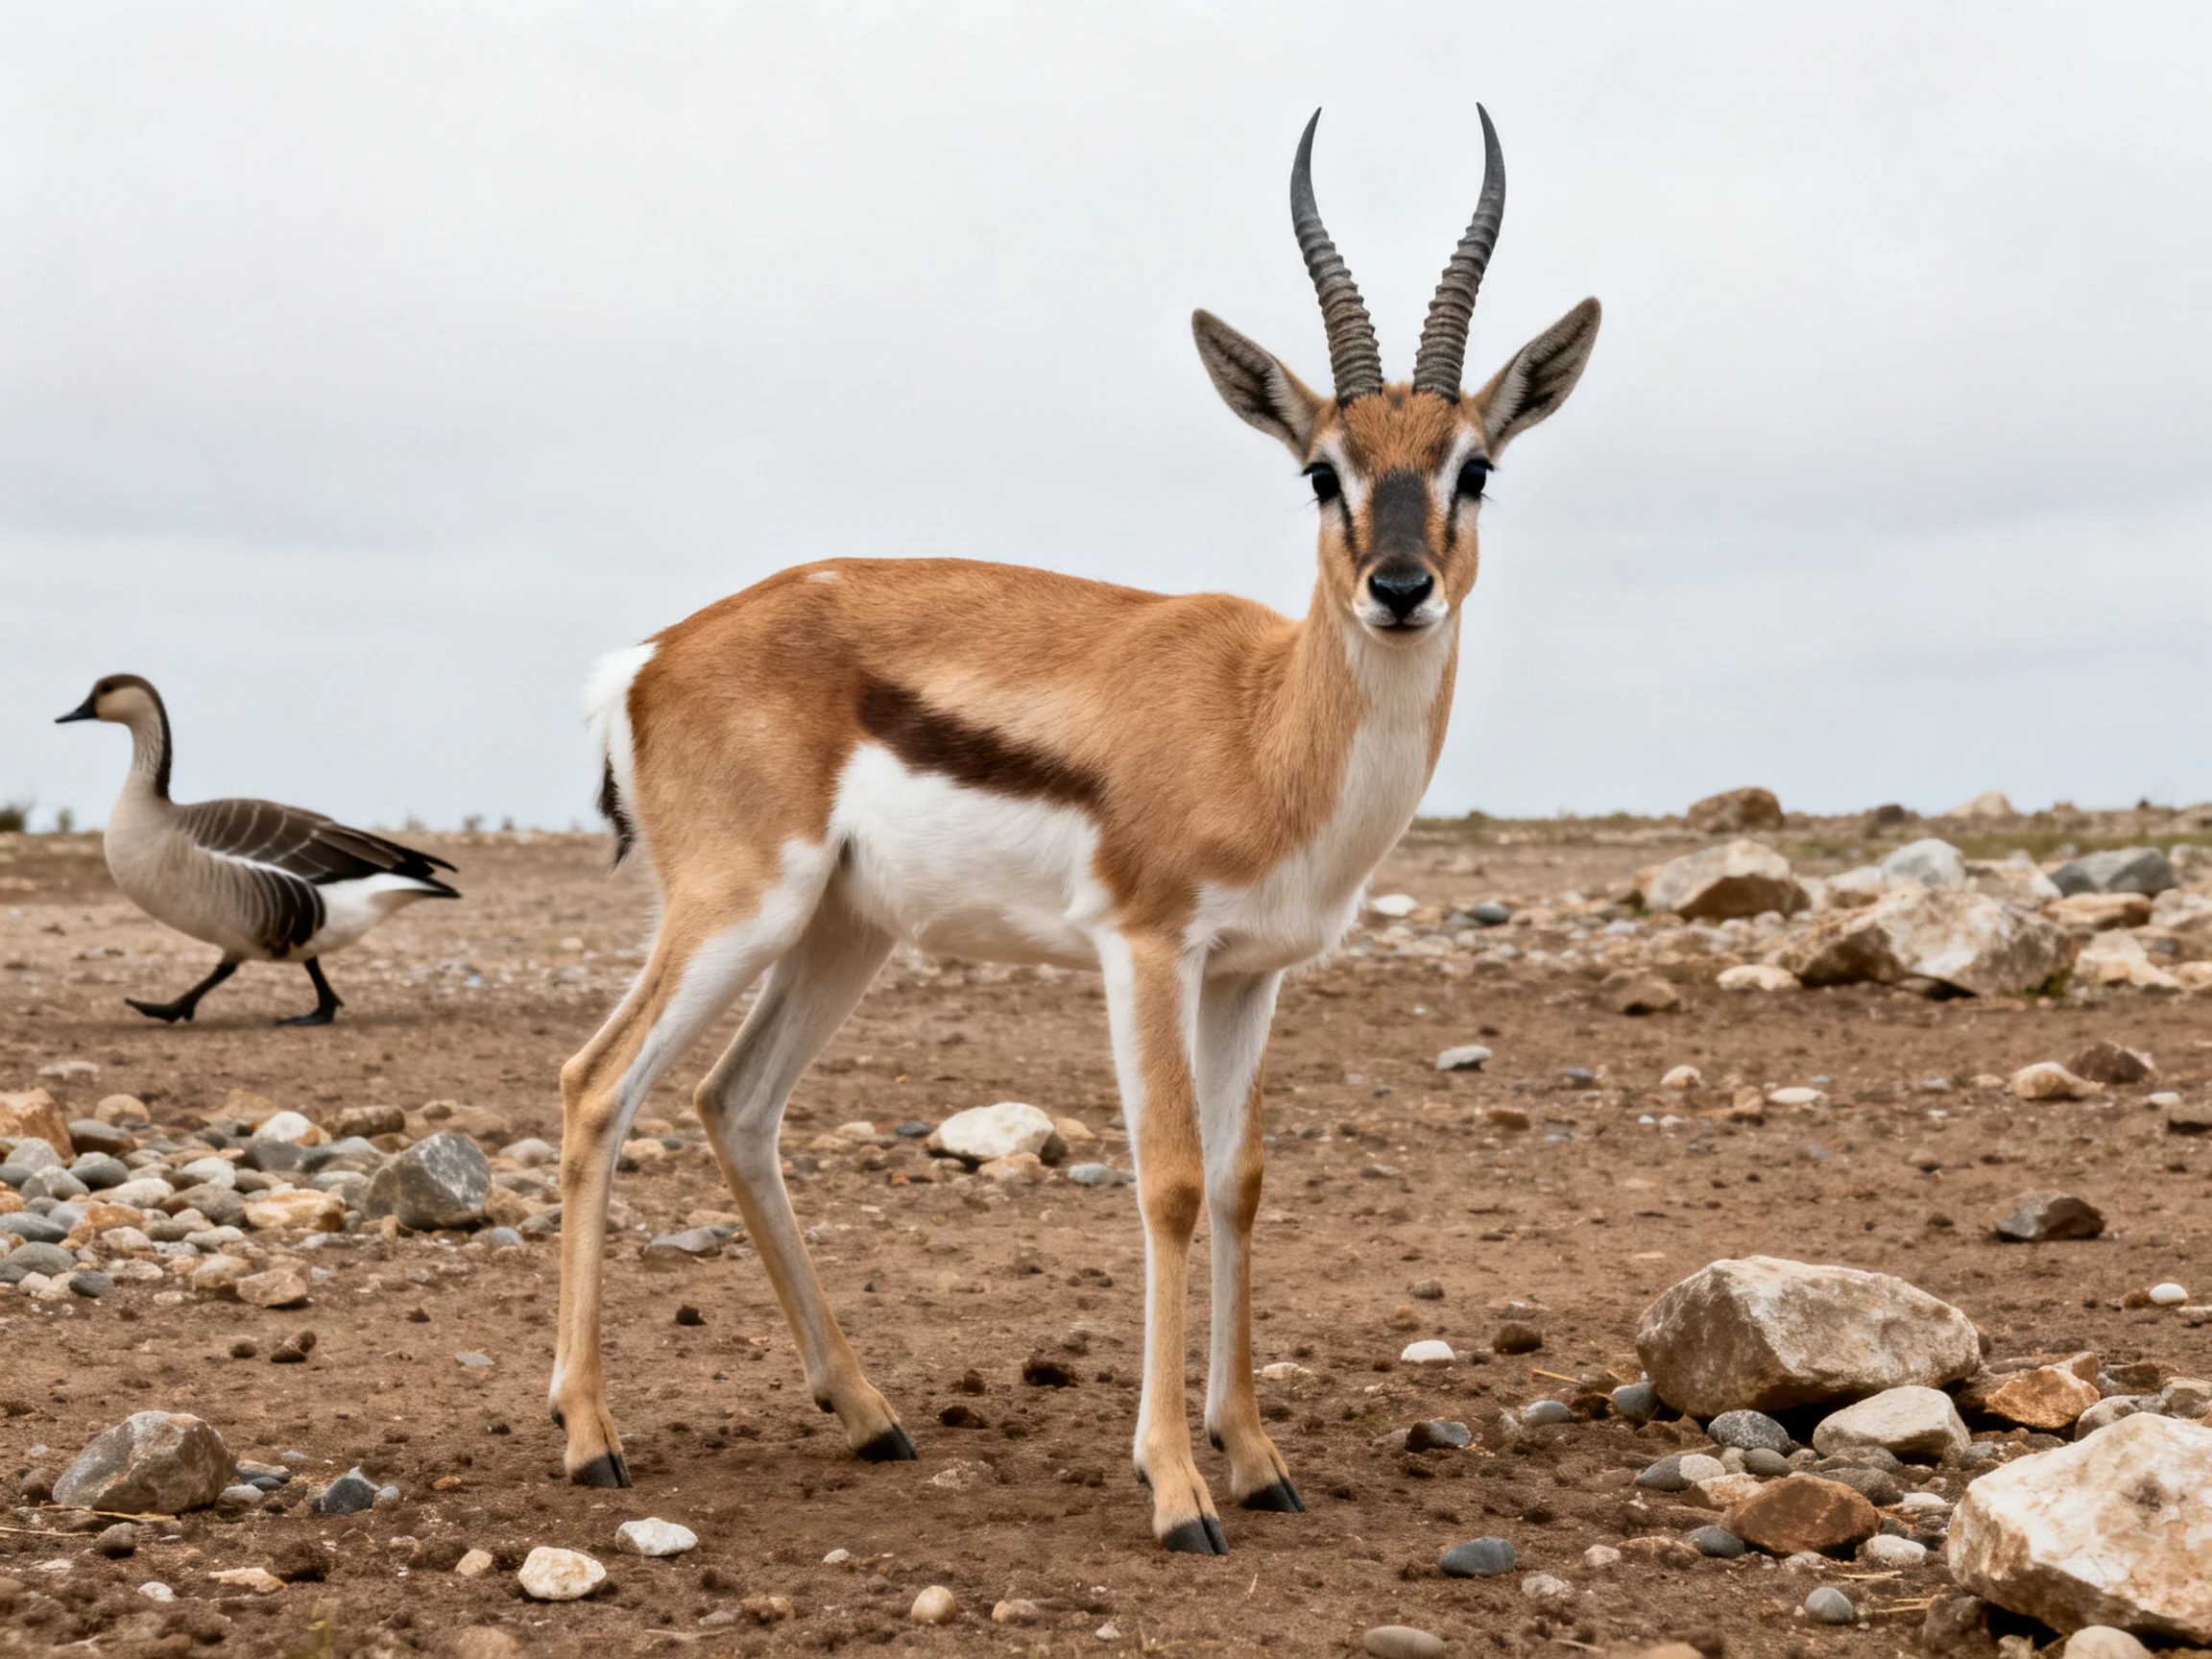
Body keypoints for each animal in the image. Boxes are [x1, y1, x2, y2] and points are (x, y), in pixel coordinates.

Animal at [553, 107, 1600, 1554]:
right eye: (1320, 471)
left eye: (1475, 467)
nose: (1400, 588)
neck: (1265, 719)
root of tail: (650, 657)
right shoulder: (1145, 950)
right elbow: (1166, 1180)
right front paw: (1176, 1489)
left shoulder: (1250, 976)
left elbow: (1240, 1180)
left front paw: (1257, 1458)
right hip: (734, 912)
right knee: (597, 1087)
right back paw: (592, 1438)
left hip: (839, 933)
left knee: (736, 1103)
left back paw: (869, 1414)